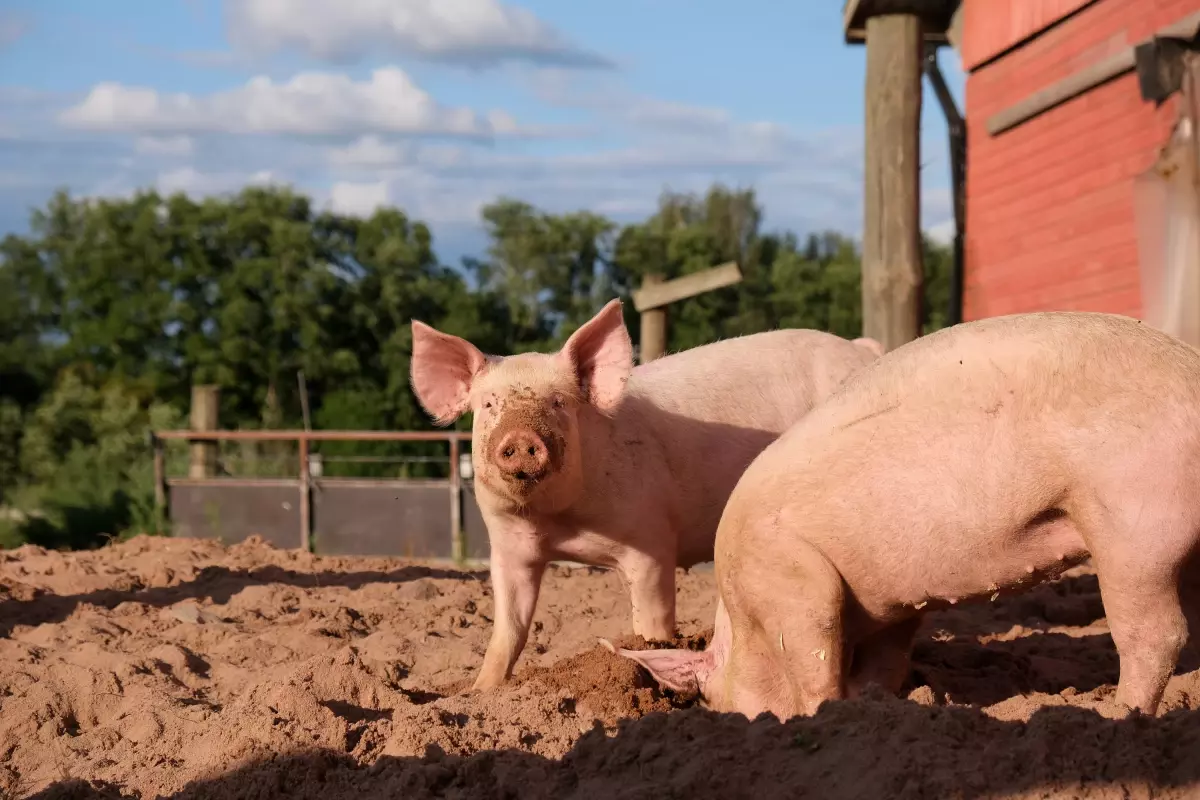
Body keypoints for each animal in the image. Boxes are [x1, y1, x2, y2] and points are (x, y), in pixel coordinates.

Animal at [408, 299, 888, 690]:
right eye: (489, 404)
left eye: (560, 402)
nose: (523, 438)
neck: (559, 523)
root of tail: (862, 350)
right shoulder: (508, 547)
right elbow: (509, 630)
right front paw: (478, 693)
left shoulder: (650, 542)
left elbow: (651, 624)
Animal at [614, 311, 1200, 719]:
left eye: (714, 699)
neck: (742, 620)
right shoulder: (887, 605)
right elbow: (886, 662)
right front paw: (875, 705)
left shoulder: (793, 580)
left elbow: (815, 659)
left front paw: (823, 716)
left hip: (1132, 524)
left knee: (1156, 634)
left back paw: (1117, 715)